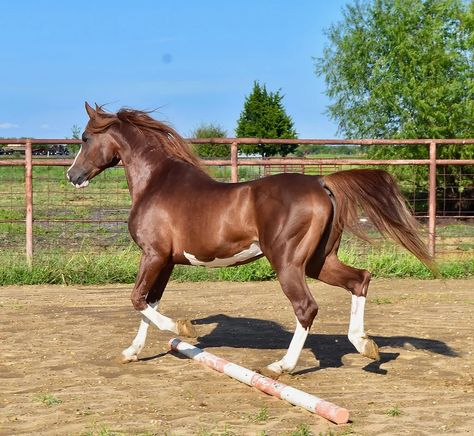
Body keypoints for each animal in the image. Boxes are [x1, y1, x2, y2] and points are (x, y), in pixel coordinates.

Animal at [66, 102, 434, 378]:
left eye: (85, 138)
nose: (72, 175)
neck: (156, 182)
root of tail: (321, 183)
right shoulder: (166, 261)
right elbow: (149, 302)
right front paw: (131, 352)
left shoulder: (153, 255)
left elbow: (137, 299)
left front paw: (184, 329)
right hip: (318, 261)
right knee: (360, 279)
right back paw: (365, 345)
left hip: (288, 262)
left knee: (306, 307)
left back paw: (282, 366)